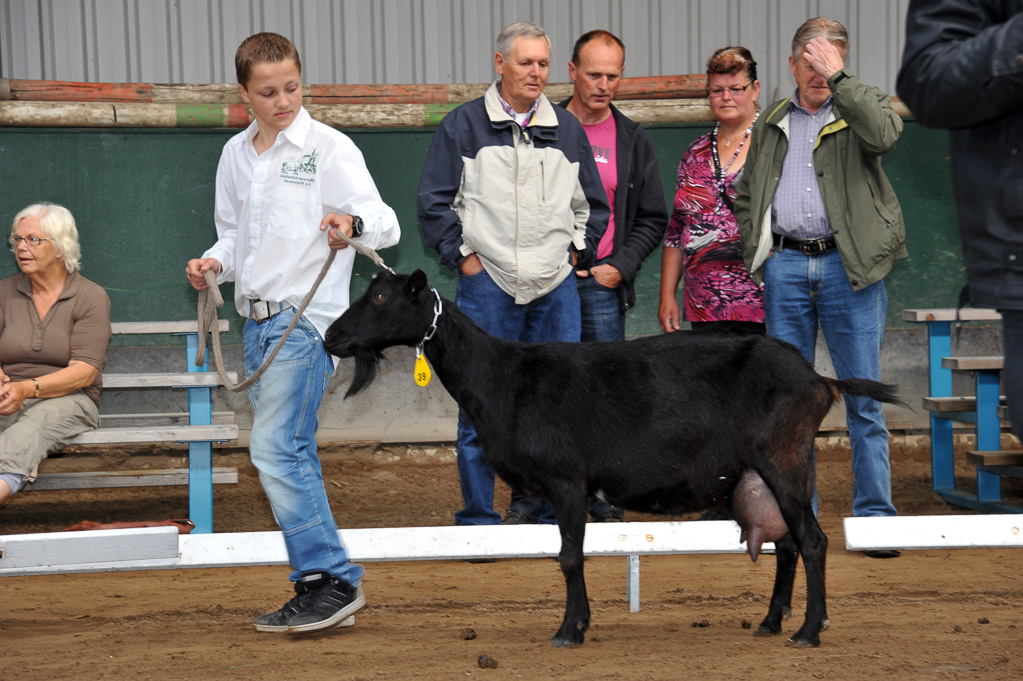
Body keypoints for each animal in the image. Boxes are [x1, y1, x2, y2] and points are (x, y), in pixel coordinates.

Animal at [325, 267, 904, 646]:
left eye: (381, 296)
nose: (332, 335)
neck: (503, 376)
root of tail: (819, 379)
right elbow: (570, 554)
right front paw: (577, 624)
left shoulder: (566, 480)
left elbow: (569, 556)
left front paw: (568, 630)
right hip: (764, 471)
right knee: (786, 545)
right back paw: (770, 623)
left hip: (785, 457)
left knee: (813, 541)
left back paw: (807, 631)